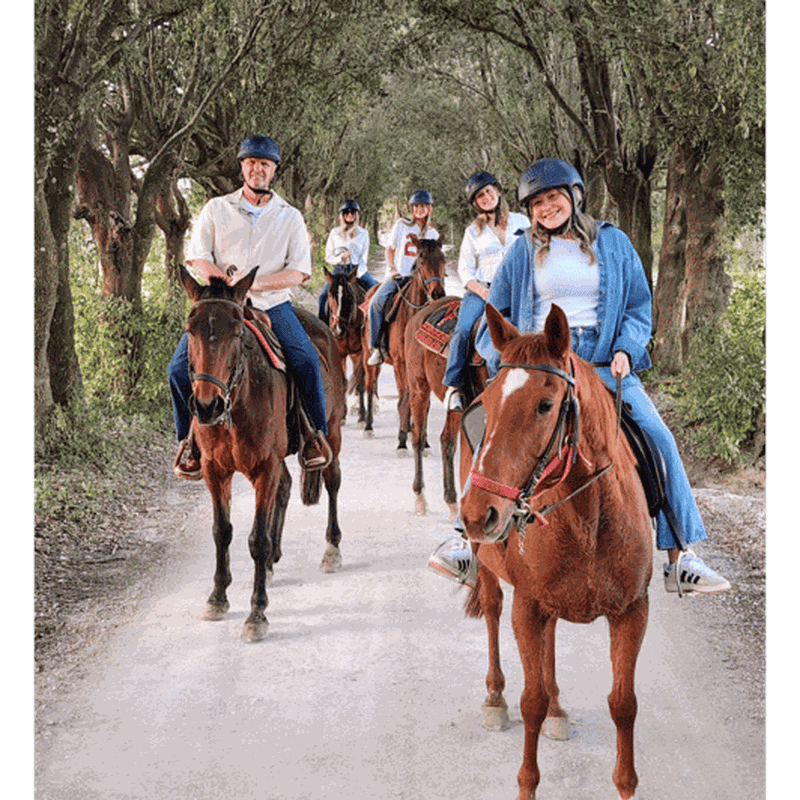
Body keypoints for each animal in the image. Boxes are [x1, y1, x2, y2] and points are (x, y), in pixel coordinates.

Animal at [178, 264, 347, 643]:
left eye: (237, 331)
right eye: (190, 329)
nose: (207, 407)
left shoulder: (264, 468)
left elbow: (257, 539)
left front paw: (257, 613)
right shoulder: (214, 470)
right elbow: (222, 531)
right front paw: (217, 597)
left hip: (332, 432)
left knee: (332, 482)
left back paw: (332, 550)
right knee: (285, 488)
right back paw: (271, 565)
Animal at [321, 266, 372, 426]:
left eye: (349, 296)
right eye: (330, 295)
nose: (337, 330)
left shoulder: (360, 352)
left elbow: (361, 382)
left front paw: (362, 415)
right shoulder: (340, 353)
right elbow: (343, 381)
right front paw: (343, 415)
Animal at [361, 233, 446, 446]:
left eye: (443, 259)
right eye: (421, 260)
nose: (437, 293)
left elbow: (424, 402)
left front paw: (422, 440)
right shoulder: (400, 363)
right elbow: (403, 399)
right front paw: (401, 443)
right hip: (368, 356)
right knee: (370, 386)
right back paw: (368, 426)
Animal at [403, 295, 488, 518]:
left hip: (456, 407)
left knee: (446, 441)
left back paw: (451, 502)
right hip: (419, 388)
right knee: (418, 437)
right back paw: (421, 498)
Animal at [458, 303, 652, 800]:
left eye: (545, 406)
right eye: (487, 403)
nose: (478, 513)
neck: (588, 518)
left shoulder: (632, 611)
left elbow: (624, 704)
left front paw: (626, 783)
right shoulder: (527, 606)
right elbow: (531, 702)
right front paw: (527, 782)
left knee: (550, 642)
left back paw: (560, 709)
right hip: (490, 567)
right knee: (492, 609)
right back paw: (495, 697)